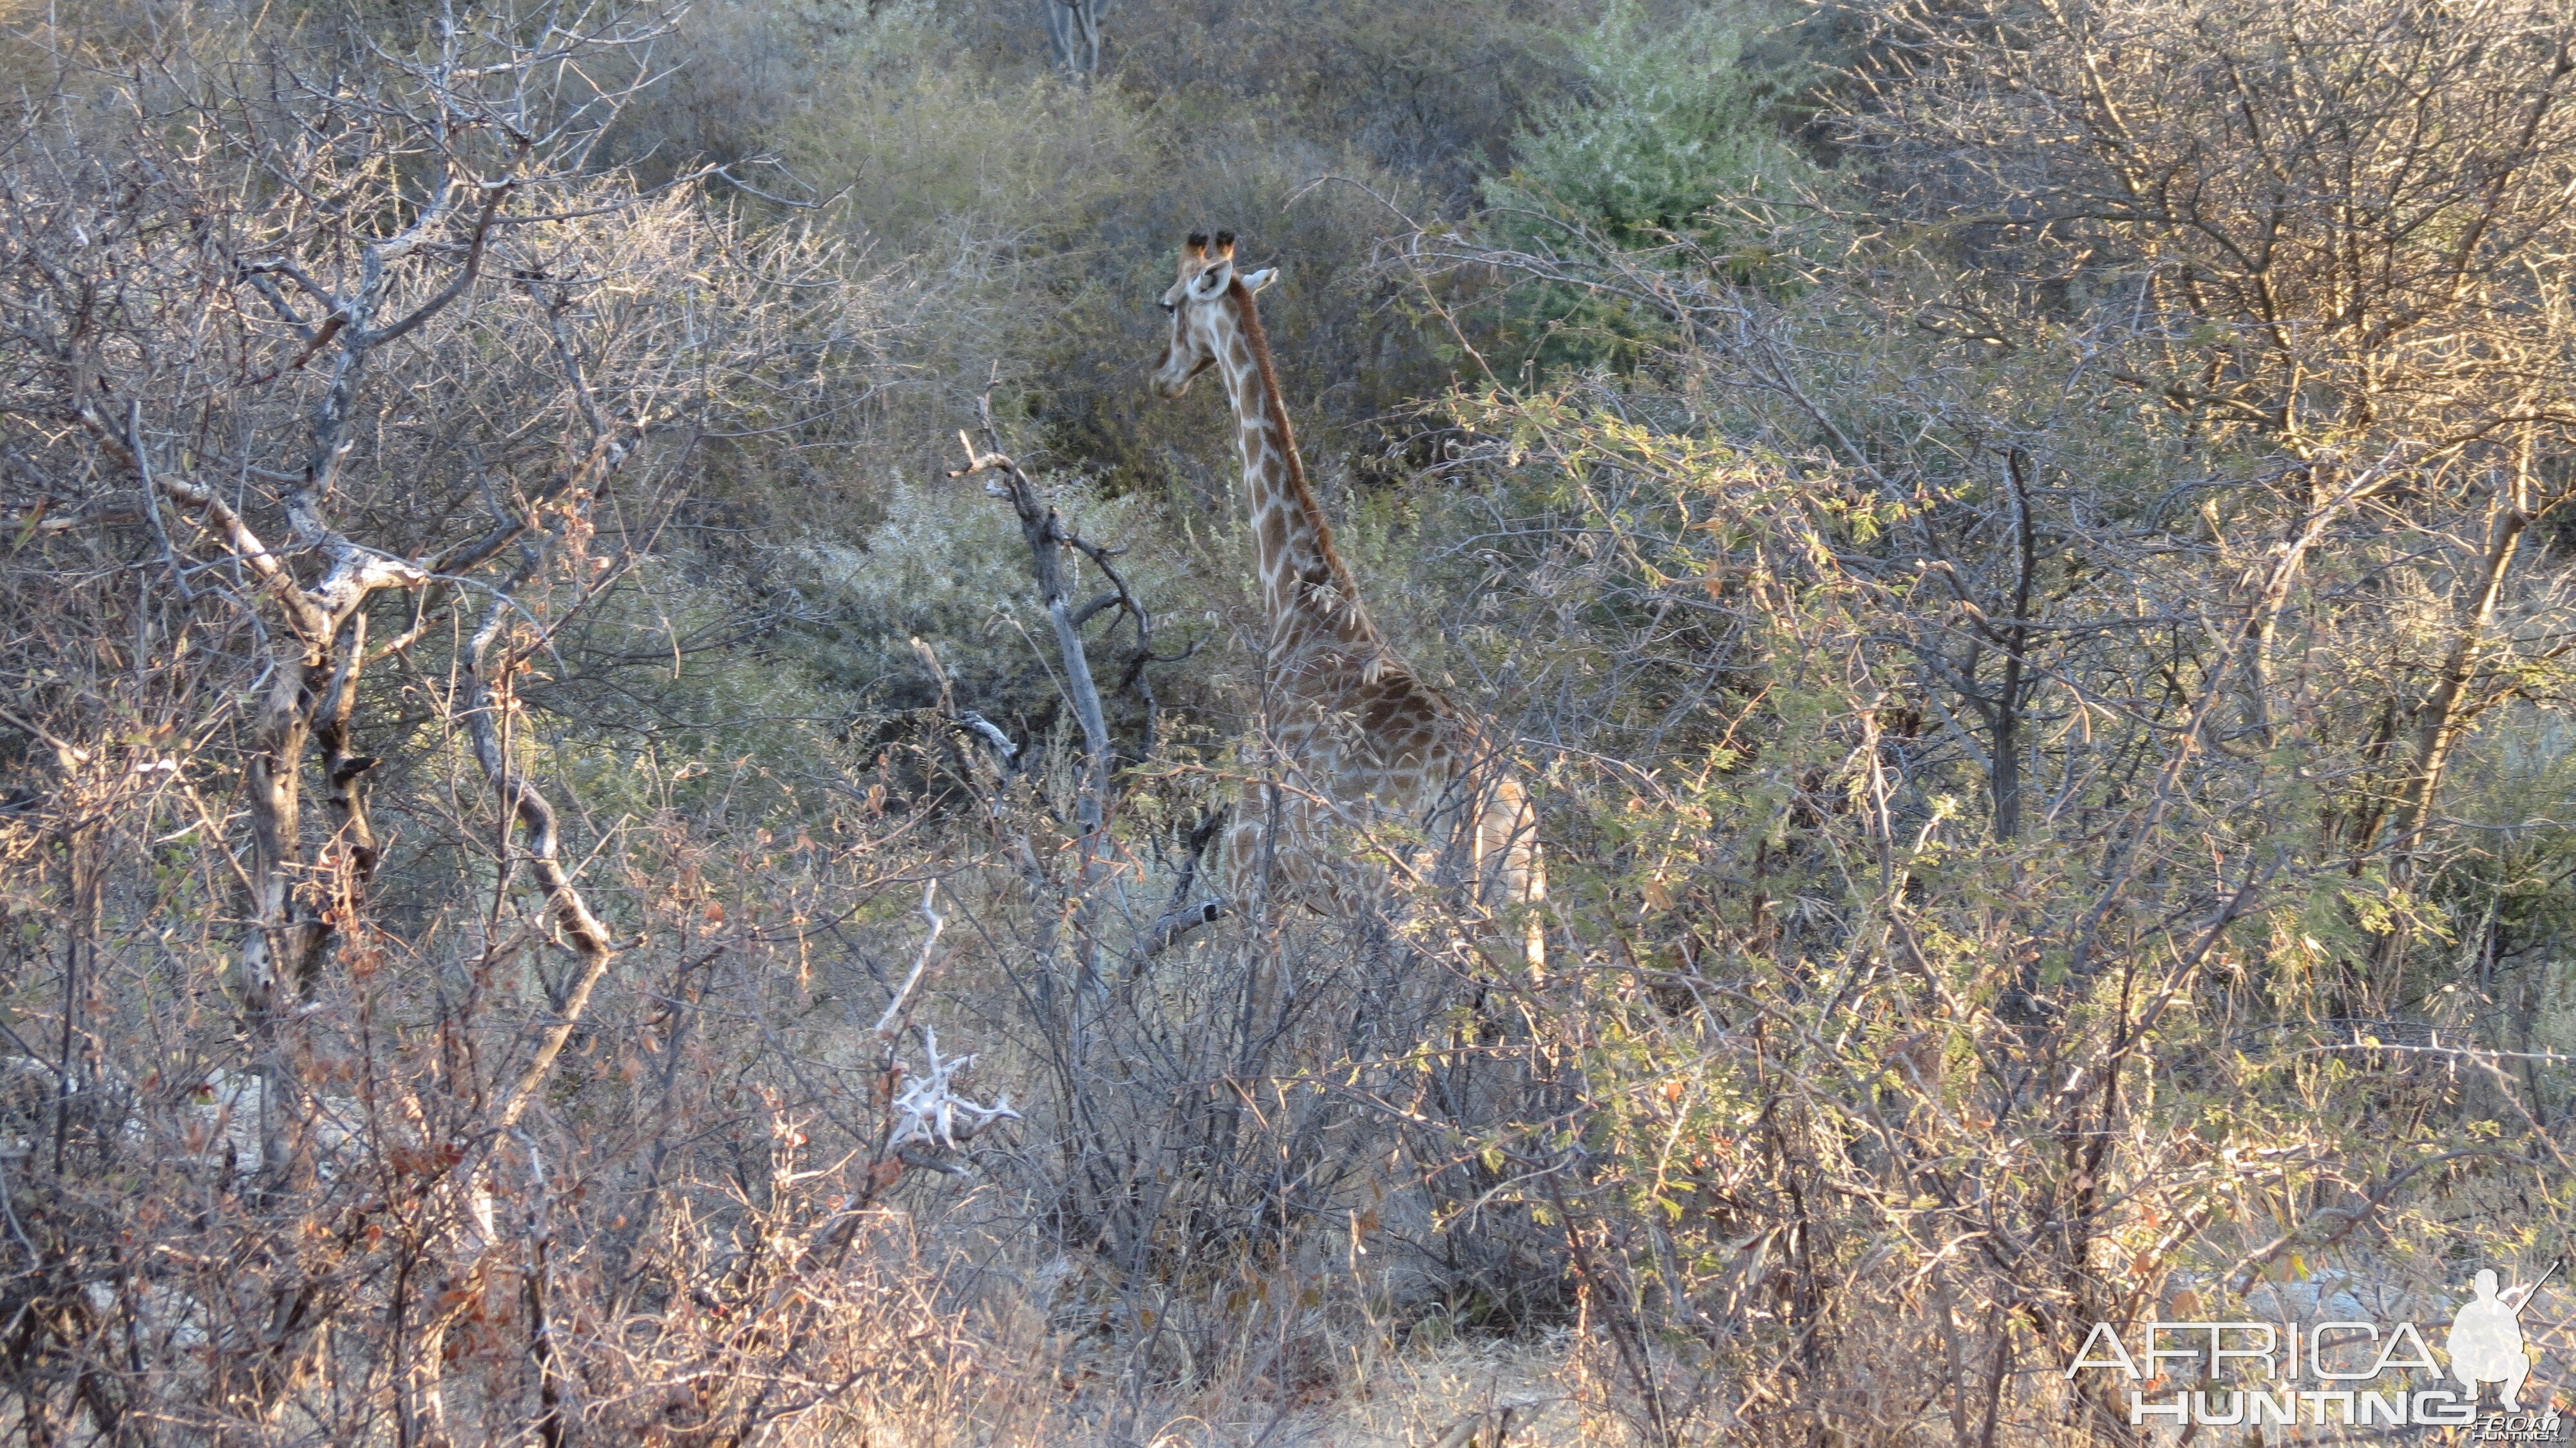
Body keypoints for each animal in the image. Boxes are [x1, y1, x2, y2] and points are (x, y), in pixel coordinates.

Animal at [1154, 231, 1546, 969]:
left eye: (1167, 305)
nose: (1162, 377)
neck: (1298, 598)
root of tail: (1479, 794)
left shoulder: (1256, 887)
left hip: (1397, 909)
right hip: (1521, 908)